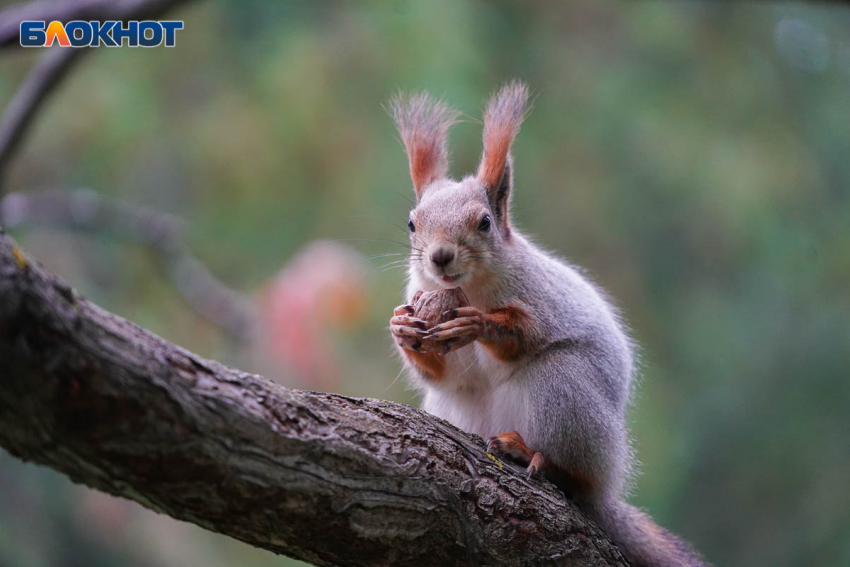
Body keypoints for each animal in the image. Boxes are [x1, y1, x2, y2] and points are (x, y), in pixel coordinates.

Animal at [388, 81, 704, 567]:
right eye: (411, 224)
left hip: (564, 393)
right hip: (457, 407)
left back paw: (532, 457)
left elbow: (523, 334)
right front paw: (403, 329)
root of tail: (608, 486)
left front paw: (479, 325)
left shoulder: (540, 297)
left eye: (484, 222)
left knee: (574, 475)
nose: (439, 257)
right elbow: (442, 371)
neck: (470, 288)